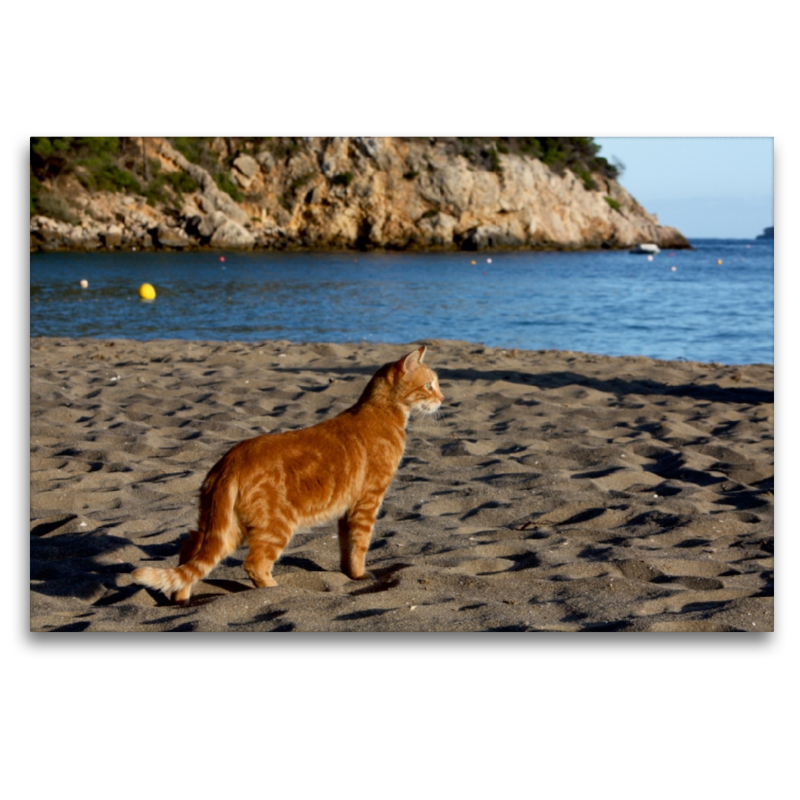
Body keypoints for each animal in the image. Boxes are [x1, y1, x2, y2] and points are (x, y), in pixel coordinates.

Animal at [132, 344, 444, 600]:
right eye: (429, 385)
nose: (442, 399)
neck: (381, 412)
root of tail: (231, 460)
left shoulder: (347, 509)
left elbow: (346, 546)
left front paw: (348, 574)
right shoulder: (367, 501)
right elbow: (360, 544)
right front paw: (359, 575)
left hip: (221, 526)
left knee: (189, 550)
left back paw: (181, 599)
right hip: (276, 525)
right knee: (254, 564)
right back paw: (276, 590)